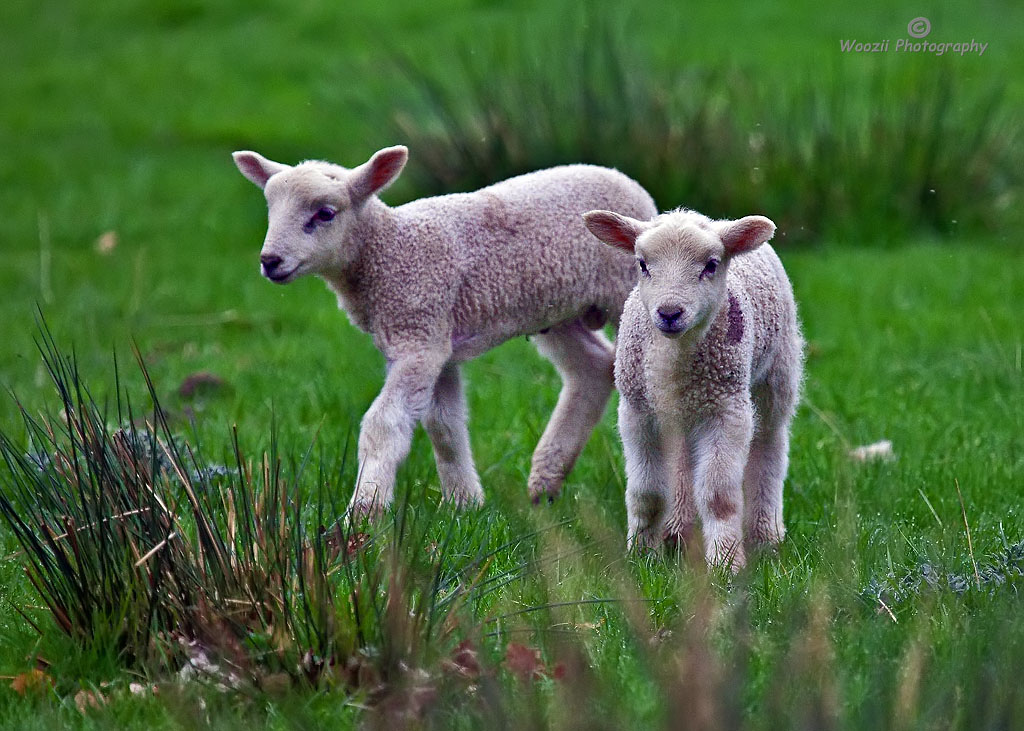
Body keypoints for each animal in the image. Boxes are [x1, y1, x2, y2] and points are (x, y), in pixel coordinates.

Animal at [232, 145, 655, 516]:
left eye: (325, 213)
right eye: (272, 209)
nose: (270, 261)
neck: (390, 248)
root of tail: (626, 182)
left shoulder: (419, 336)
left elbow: (384, 424)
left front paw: (364, 512)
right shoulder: (437, 340)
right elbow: (444, 426)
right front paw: (465, 504)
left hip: (623, 292)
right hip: (557, 312)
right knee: (592, 367)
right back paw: (545, 482)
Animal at [581, 204, 802, 569]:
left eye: (711, 265)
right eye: (642, 264)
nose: (670, 312)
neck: (674, 361)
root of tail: (720, 220)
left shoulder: (727, 410)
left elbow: (718, 497)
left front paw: (725, 565)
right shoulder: (637, 411)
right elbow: (647, 494)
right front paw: (642, 556)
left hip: (777, 377)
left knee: (770, 447)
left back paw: (766, 537)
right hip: (679, 415)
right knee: (682, 464)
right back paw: (676, 533)